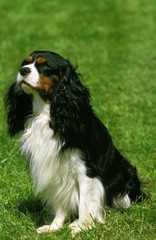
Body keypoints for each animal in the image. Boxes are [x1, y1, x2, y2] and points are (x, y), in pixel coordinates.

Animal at [4, 49, 144, 235]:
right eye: (24, 63)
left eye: (45, 66)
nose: (23, 71)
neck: (47, 112)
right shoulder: (56, 171)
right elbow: (60, 202)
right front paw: (55, 226)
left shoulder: (86, 171)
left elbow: (85, 202)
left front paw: (82, 227)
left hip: (124, 178)